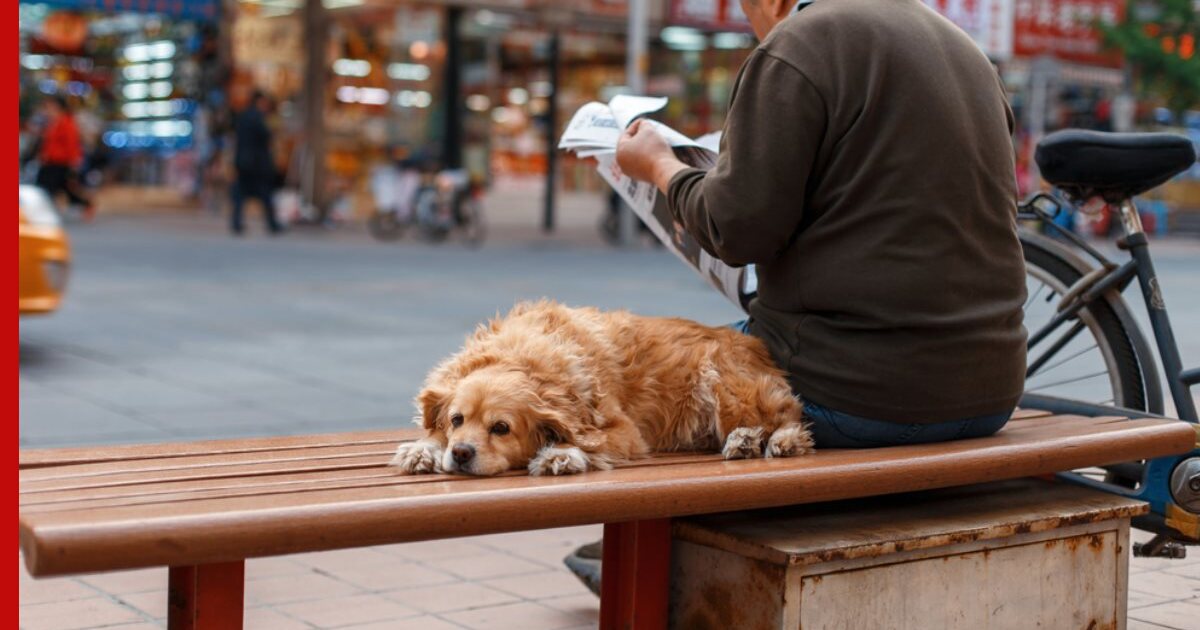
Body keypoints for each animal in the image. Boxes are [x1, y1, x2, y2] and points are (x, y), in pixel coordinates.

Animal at [388, 297, 811, 475]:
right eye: (456, 421)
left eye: (501, 428)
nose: (460, 453)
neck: (522, 356)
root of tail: (757, 346)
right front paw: (424, 448)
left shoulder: (628, 433)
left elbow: (587, 443)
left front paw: (561, 454)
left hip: (722, 384)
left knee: (790, 416)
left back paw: (770, 440)